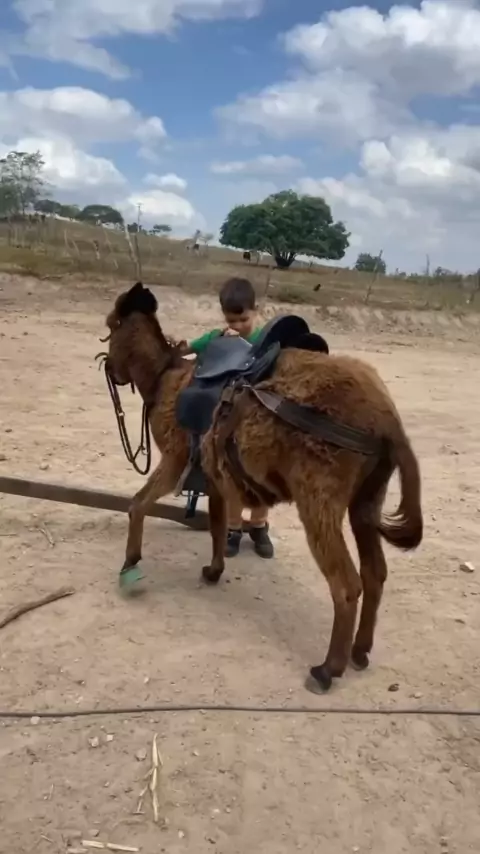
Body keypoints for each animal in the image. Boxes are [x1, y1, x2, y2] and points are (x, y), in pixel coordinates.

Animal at [100, 282, 423, 693]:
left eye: (112, 325)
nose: (111, 370)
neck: (165, 377)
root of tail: (387, 418)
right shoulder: (214, 476)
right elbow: (218, 524)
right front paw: (214, 570)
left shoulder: (174, 460)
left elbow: (138, 504)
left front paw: (131, 565)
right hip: (366, 503)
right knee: (375, 574)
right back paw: (360, 651)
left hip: (318, 503)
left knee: (346, 584)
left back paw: (327, 669)